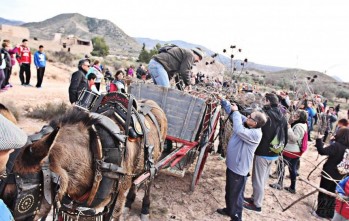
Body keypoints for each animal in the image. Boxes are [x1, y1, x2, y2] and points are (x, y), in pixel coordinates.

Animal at [1, 100, 167, 221]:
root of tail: (153, 103)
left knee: (149, 181)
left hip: (154, 162)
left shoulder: (115, 203)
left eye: (12, 197)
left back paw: (145, 208)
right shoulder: (69, 206)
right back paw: (131, 200)